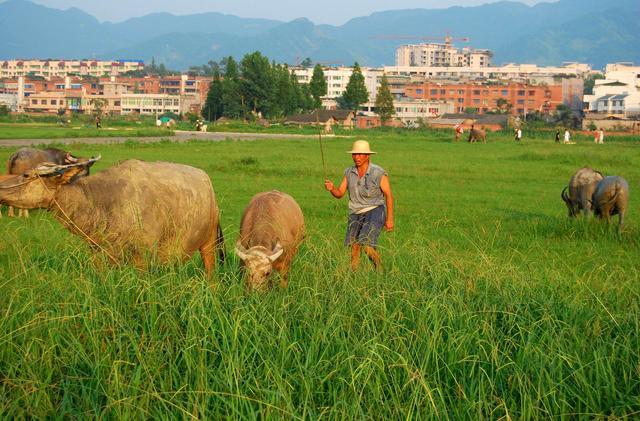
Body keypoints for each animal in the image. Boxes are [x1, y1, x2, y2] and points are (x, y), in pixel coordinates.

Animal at [0, 158, 225, 272]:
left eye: (26, 175)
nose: (1, 188)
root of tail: (207, 183)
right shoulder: (100, 253)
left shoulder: (142, 257)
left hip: (209, 243)